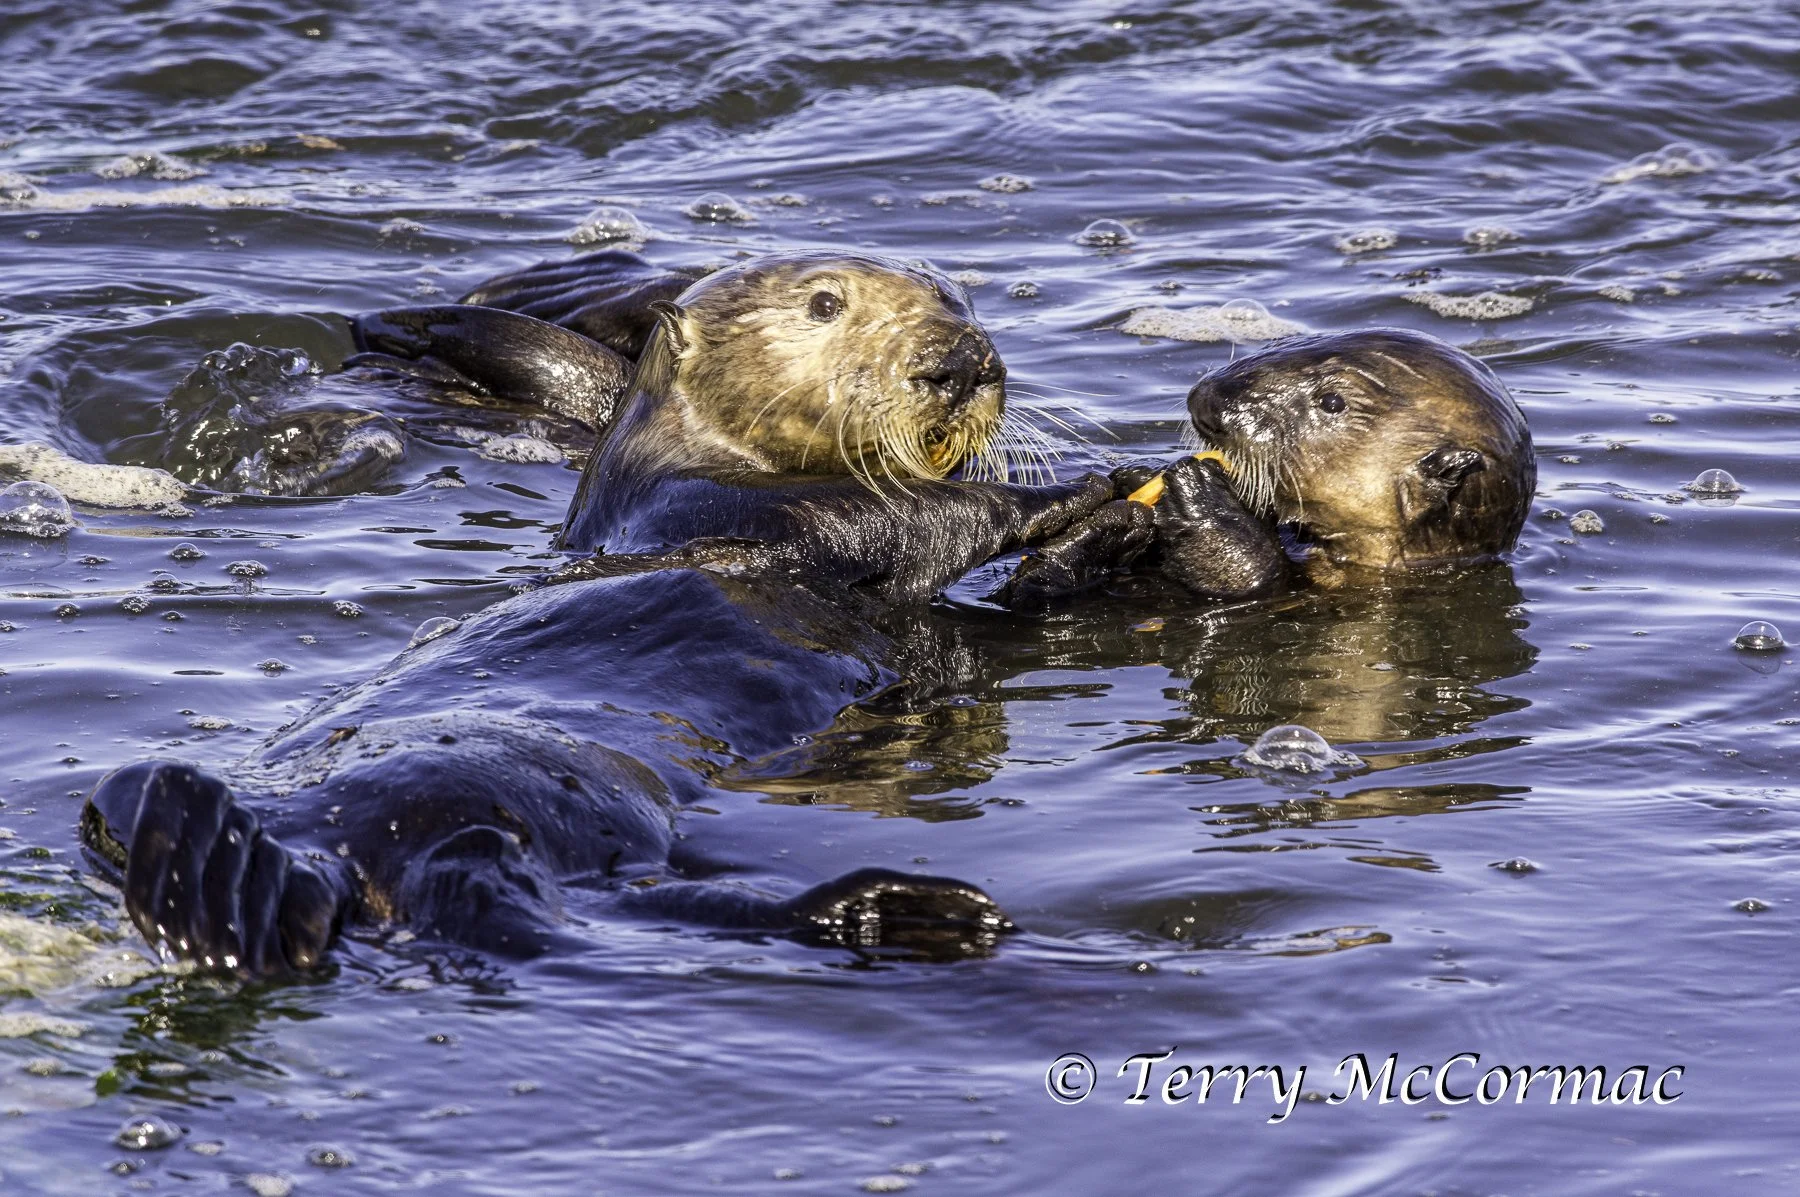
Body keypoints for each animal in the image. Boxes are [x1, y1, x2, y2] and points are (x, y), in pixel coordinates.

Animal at [80, 251, 1134, 977]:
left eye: (963, 301)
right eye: (825, 304)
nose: (962, 361)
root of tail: (323, 857)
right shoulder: (714, 511)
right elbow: (896, 517)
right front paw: (1082, 489)